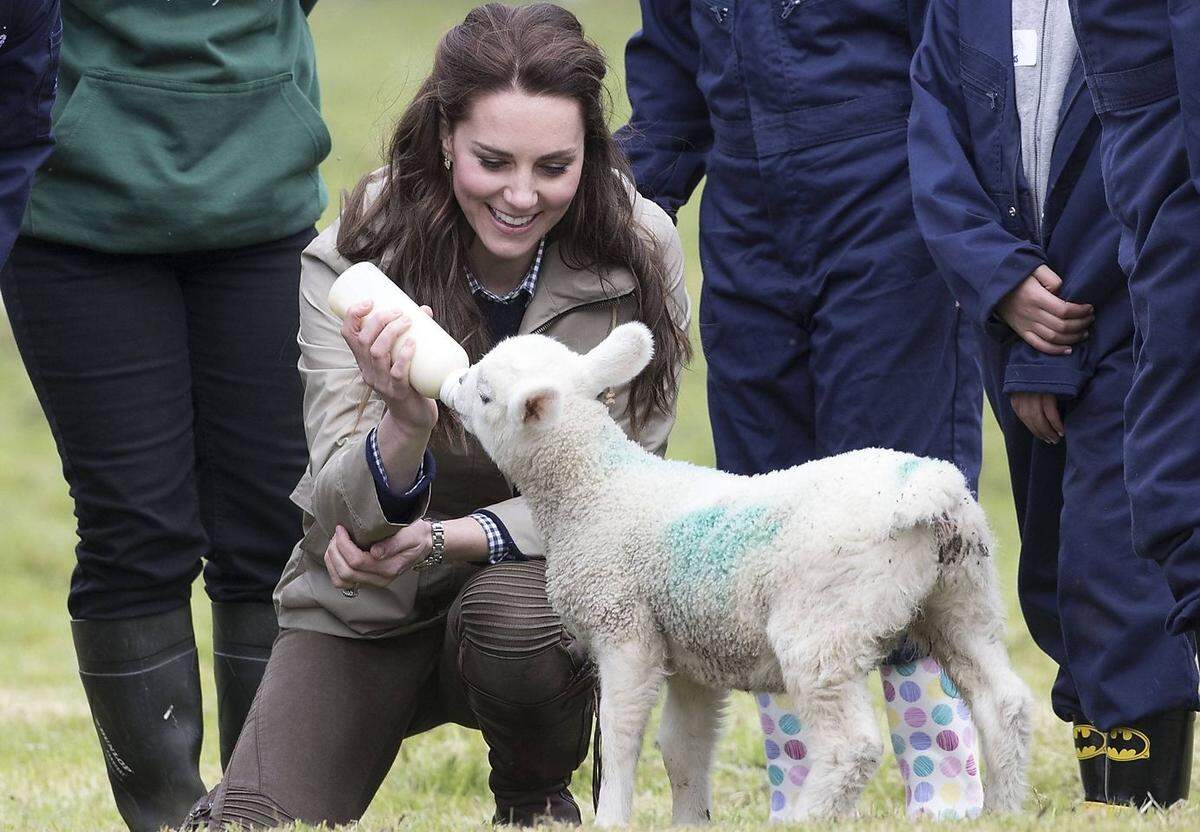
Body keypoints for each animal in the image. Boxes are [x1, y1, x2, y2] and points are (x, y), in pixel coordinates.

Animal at [439, 321, 1032, 821]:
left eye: (485, 395)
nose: (450, 383)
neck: (595, 489)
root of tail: (929, 486)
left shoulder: (626, 629)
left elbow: (622, 736)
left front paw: (611, 817)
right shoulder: (691, 651)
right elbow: (683, 748)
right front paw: (689, 821)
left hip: (824, 627)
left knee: (852, 745)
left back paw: (809, 817)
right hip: (961, 595)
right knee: (1002, 701)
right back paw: (1003, 811)